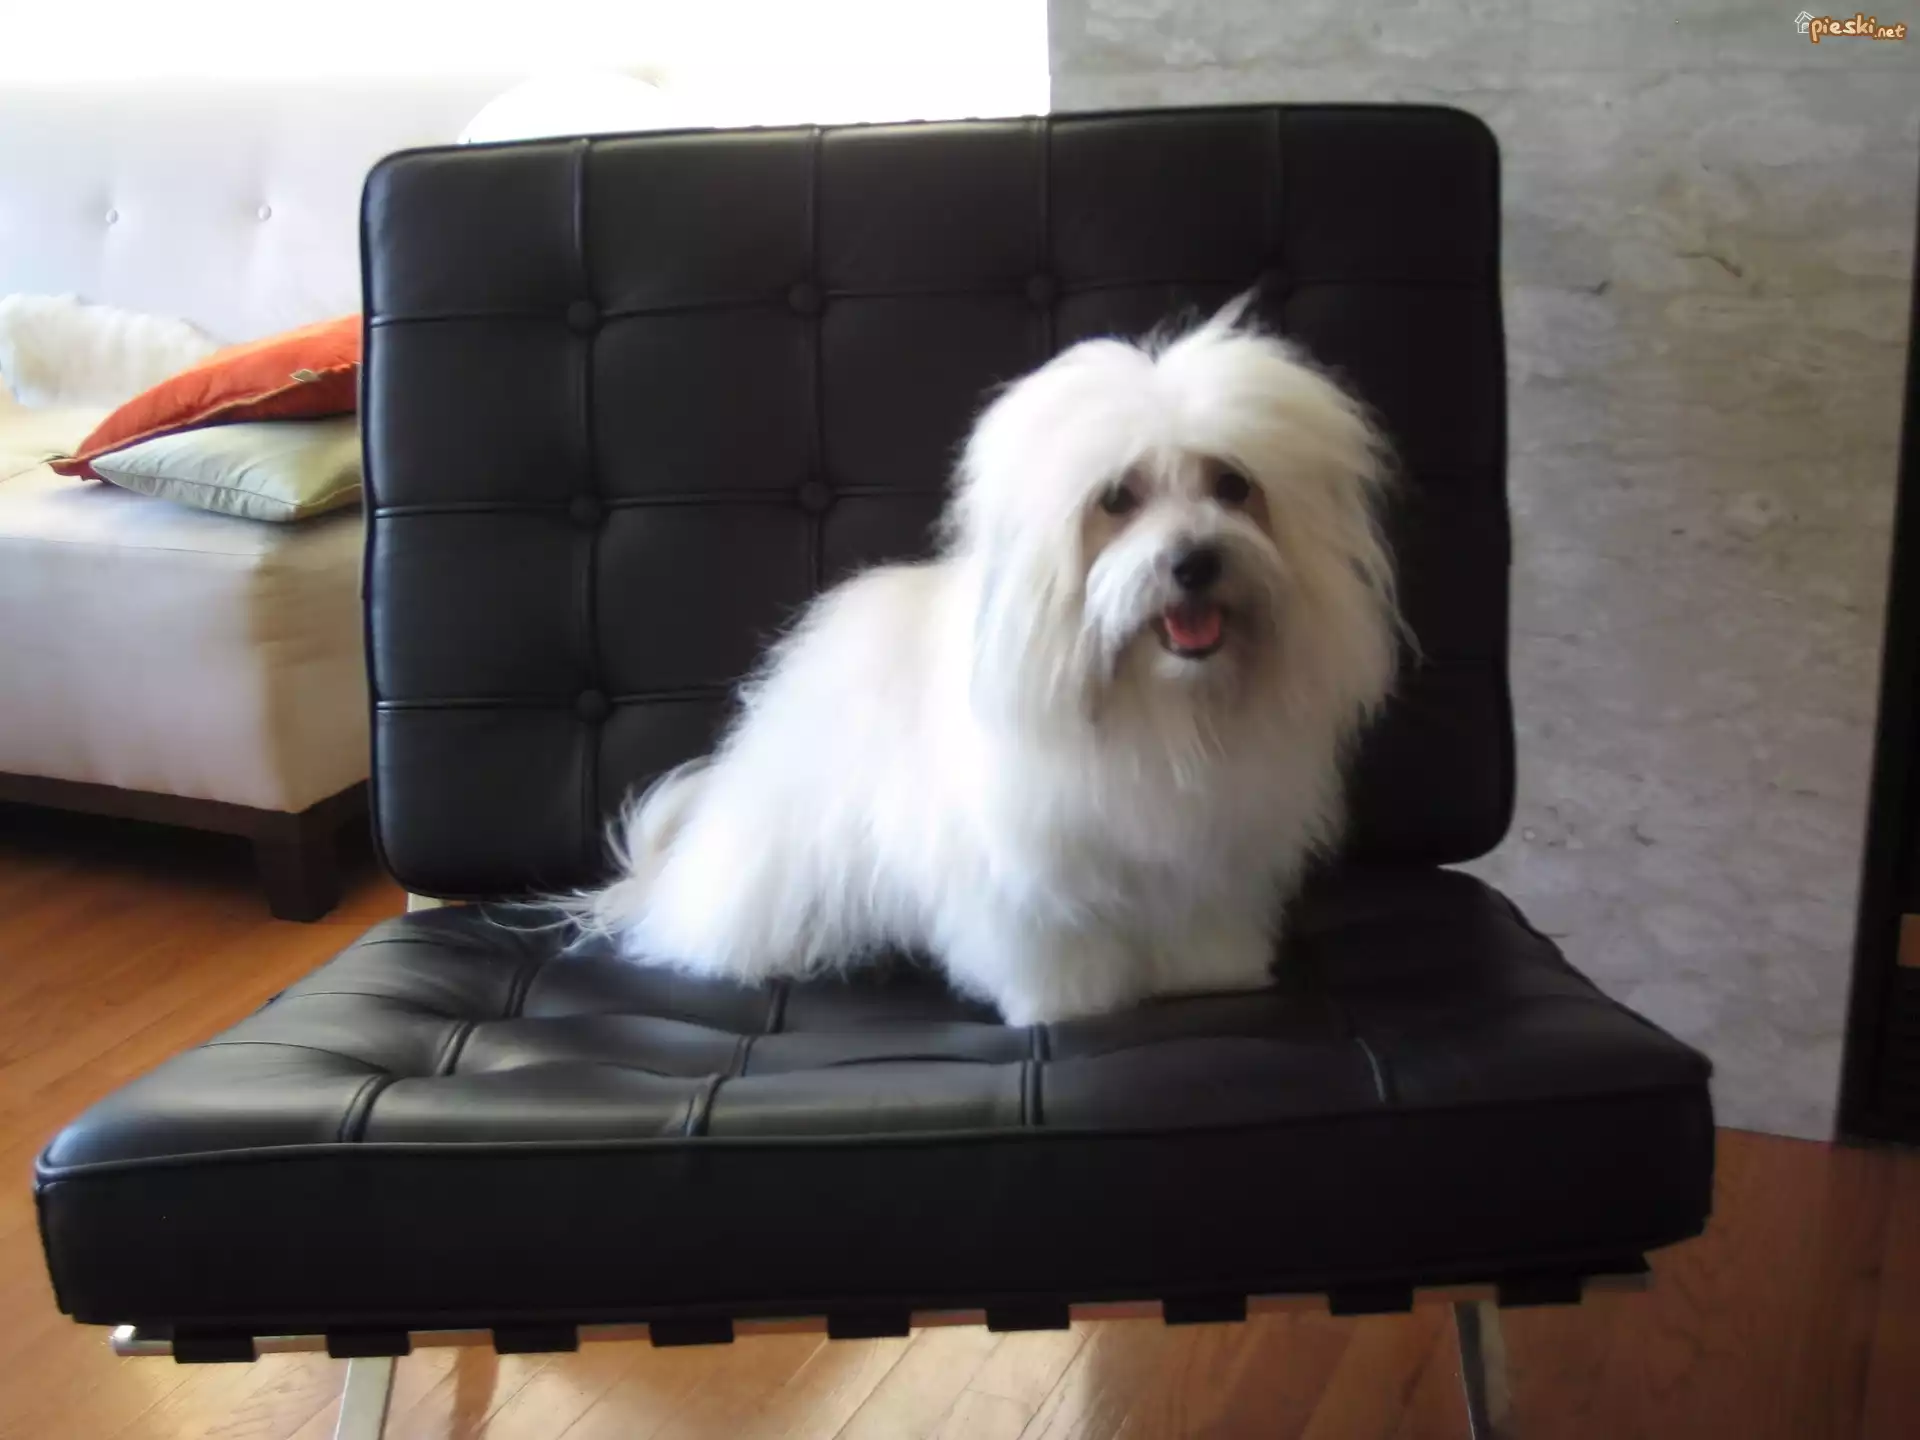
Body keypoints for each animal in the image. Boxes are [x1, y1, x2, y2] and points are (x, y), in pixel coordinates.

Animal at [571, 300, 1400, 1025]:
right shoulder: (1028, 867)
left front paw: (1209, 972)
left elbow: (1201, 919)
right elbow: (1050, 937)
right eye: (1117, 499)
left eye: (1233, 486)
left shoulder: (1211, 853)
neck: (1155, 704)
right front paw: (1068, 999)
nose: (1196, 561)